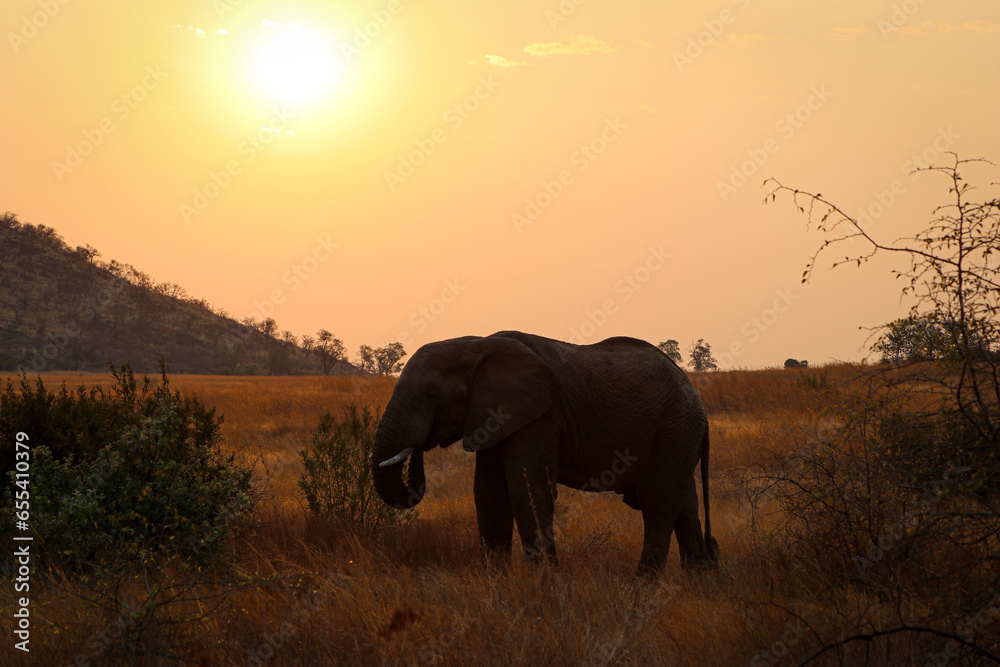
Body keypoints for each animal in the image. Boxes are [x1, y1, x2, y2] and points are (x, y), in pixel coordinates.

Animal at [369, 331, 718, 575]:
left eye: (432, 394)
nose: (419, 445)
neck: (475, 344)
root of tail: (700, 405)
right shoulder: (492, 417)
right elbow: (489, 494)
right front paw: (497, 583)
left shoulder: (539, 417)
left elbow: (528, 488)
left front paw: (547, 583)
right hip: (677, 436)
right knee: (684, 505)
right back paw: (696, 585)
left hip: (674, 428)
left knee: (658, 503)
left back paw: (641, 590)